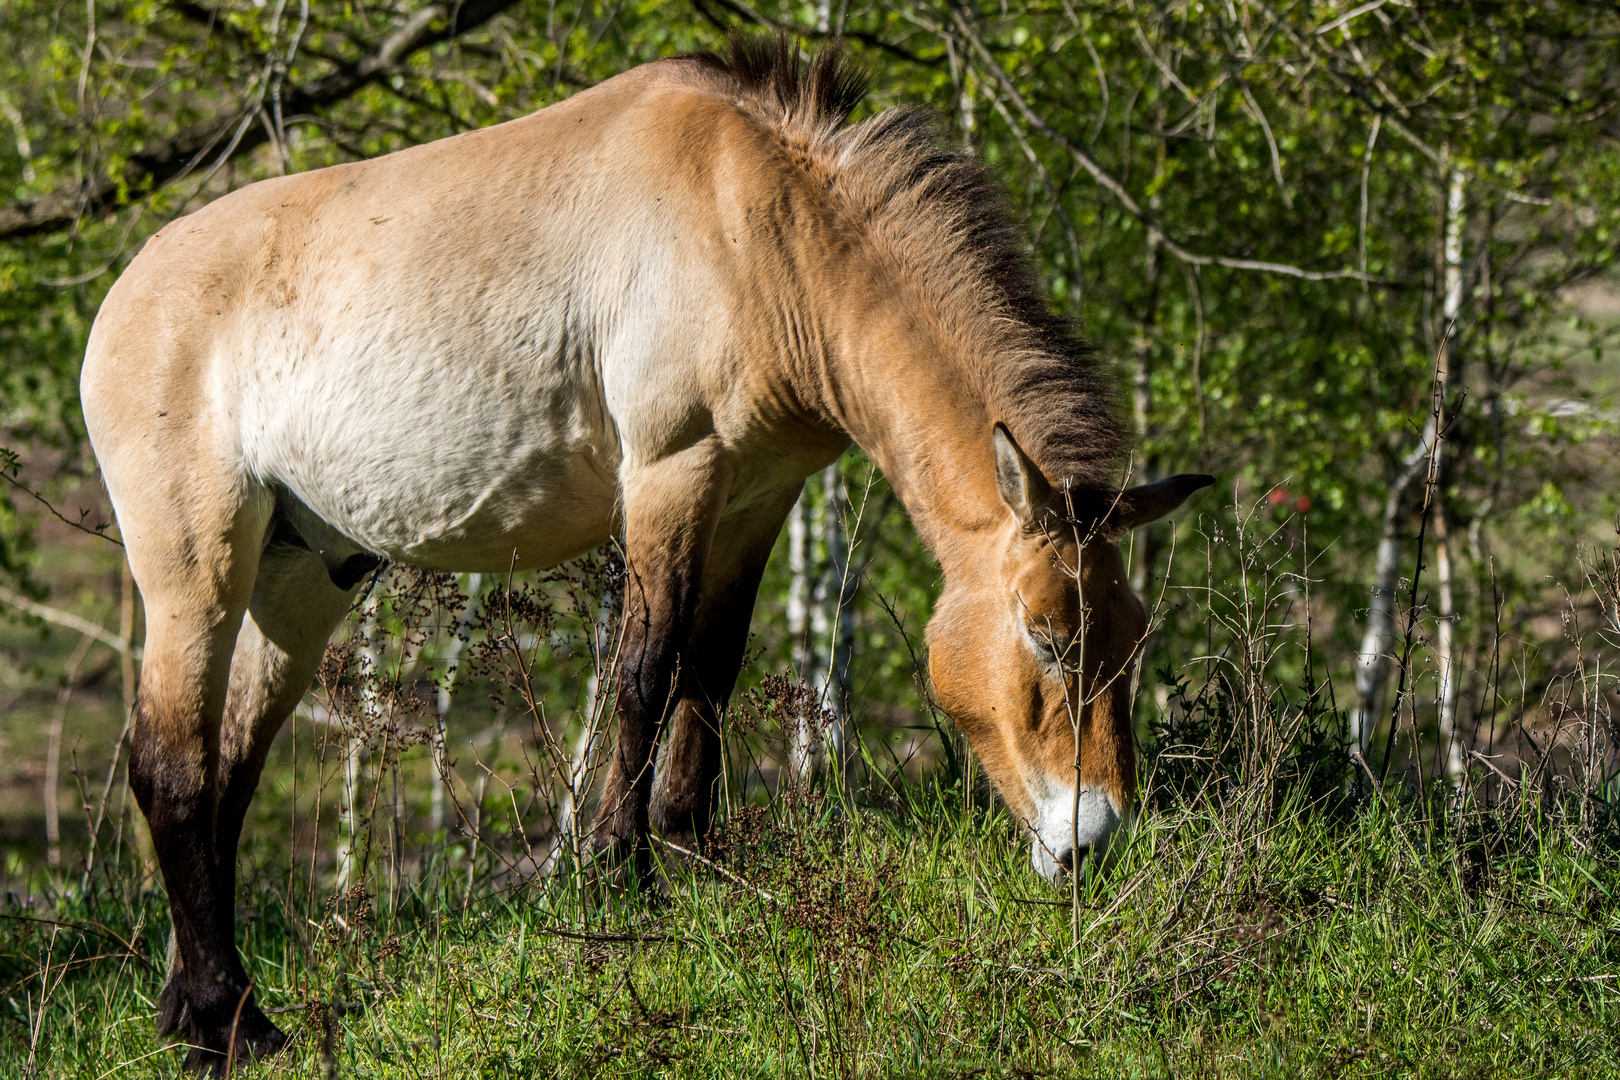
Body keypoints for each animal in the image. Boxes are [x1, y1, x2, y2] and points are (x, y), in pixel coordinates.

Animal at [82, 35, 1211, 1075]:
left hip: (301, 579)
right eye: (1047, 638)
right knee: (172, 769)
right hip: (196, 572)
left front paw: (698, 858)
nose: (1093, 843)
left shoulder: (756, 495)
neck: (757, 223)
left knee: (227, 774)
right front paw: (617, 879)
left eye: (1131, 641)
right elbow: (643, 671)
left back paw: (191, 1008)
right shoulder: (673, 474)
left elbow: (709, 668)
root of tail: (125, 295)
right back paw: (230, 1023)